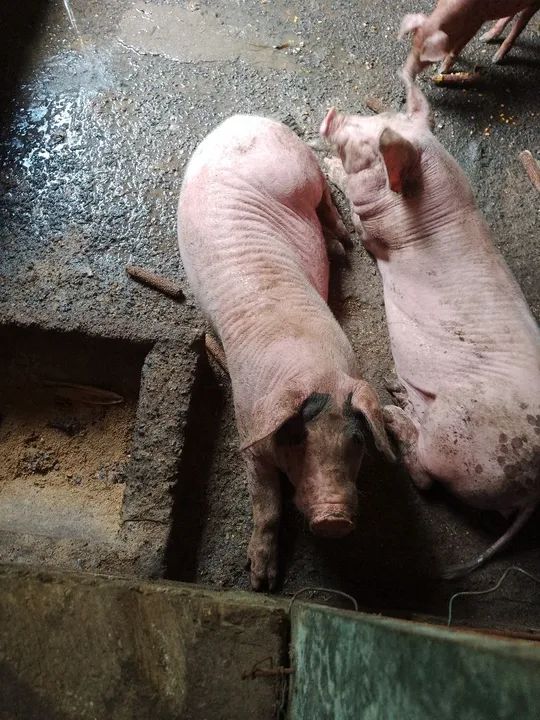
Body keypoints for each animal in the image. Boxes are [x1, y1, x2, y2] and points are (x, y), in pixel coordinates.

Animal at [177, 115, 395, 590]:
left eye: (356, 440)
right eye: (297, 438)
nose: (333, 520)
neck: (312, 369)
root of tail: (241, 119)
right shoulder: (249, 425)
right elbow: (268, 507)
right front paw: (261, 583)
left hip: (302, 170)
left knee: (326, 199)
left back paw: (342, 245)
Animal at [320, 78, 540, 577]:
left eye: (368, 145)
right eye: (378, 118)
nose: (331, 114)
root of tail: (532, 489)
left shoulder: (375, 231)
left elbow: (358, 220)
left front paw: (327, 165)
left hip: (458, 437)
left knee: (425, 477)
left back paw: (394, 412)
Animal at [399, 0, 540, 77]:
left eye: (427, 54)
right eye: (413, 45)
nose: (406, 73)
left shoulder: (477, 22)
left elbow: (459, 46)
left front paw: (441, 71)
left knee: (520, 24)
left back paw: (496, 58)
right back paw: (485, 38)